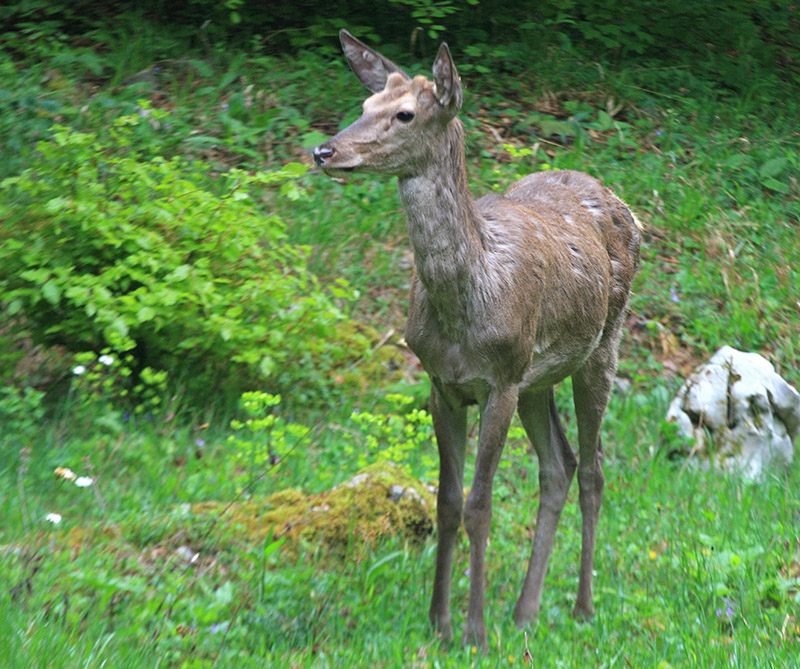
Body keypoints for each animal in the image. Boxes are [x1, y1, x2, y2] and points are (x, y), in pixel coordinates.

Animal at [314, 30, 644, 648]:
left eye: (405, 113)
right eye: (364, 104)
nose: (324, 151)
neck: (464, 309)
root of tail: (623, 204)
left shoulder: (500, 379)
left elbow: (479, 506)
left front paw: (473, 631)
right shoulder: (441, 382)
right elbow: (446, 502)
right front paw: (438, 622)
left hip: (600, 345)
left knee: (592, 468)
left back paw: (581, 607)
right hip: (538, 379)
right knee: (558, 467)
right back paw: (526, 610)